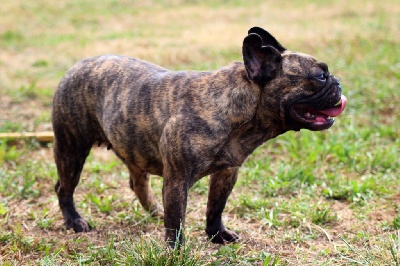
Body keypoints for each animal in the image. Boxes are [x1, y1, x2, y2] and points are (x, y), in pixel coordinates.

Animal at [52, 26, 346, 245]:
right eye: (320, 76)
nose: (338, 82)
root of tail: (77, 65)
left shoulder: (227, 172)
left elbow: (215, 206)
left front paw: (217, 235)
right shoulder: (176, 181)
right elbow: (176, 224)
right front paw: (175, 252)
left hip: (130, 145)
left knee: (137, 182)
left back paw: (154, 211)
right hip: (71, 149)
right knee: (64, 188)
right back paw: (74, 221)